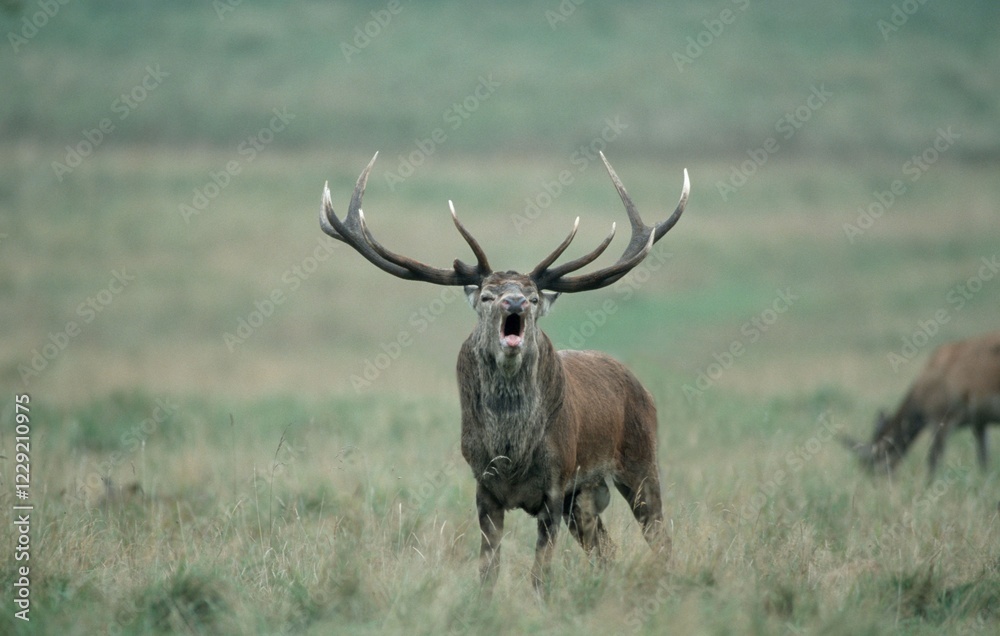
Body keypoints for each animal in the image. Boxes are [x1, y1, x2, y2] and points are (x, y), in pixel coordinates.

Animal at [320, 152, 689, 593]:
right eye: (487, 295)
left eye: (533, 296)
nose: (515, 302)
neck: (511, 453)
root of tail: (641, 388)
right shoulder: (484, 487)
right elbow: (487, 570)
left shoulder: (554, 486)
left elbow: (539, 573)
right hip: (584, 495)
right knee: (606, 549)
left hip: (639, 461)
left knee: (660, 539)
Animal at [841, 330, 1000, 479]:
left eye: (872, 460)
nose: (873, 481)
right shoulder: (979, 423)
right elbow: (983, 460)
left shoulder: (941, 420)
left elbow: (933, 459)